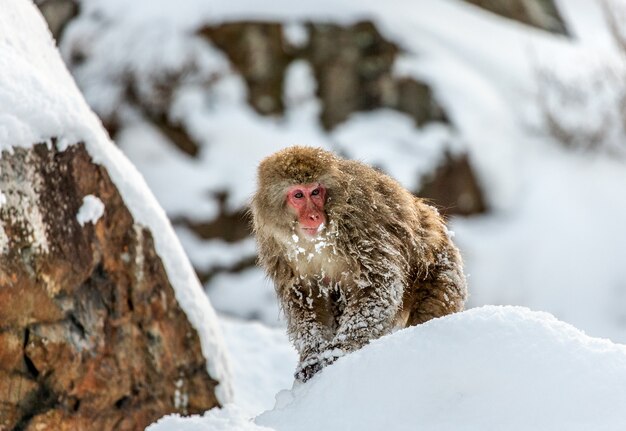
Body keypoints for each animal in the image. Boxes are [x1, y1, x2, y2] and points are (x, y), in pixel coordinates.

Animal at [249, 146, 464, 382]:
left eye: (315, 192)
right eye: (298, 195)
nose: (313, 216)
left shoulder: (360, 222)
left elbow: (379, 285)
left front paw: (338, 351)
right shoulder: (274, 245)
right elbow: (304, 297)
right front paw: (311, 356)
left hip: (441, 267)